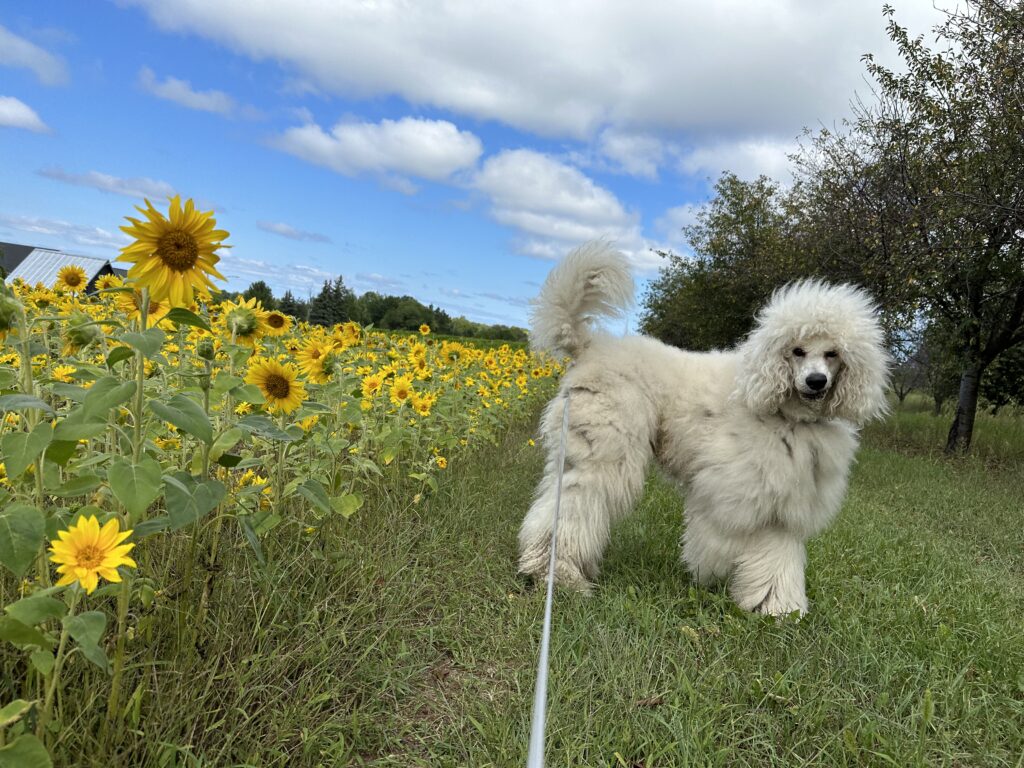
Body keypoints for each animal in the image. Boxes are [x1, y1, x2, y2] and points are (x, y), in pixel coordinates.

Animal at [518, 242, 890, 616]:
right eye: (797, 350)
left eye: (833, 353)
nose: (816, 382)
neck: (784, 414)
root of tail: (590, 346)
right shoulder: (732, 494)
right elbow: (720, 543)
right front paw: (715, 578)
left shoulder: (783, 505)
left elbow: (778, 557)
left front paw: (779, 608)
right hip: (604, 454)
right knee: (574, 510)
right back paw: (560, 576)